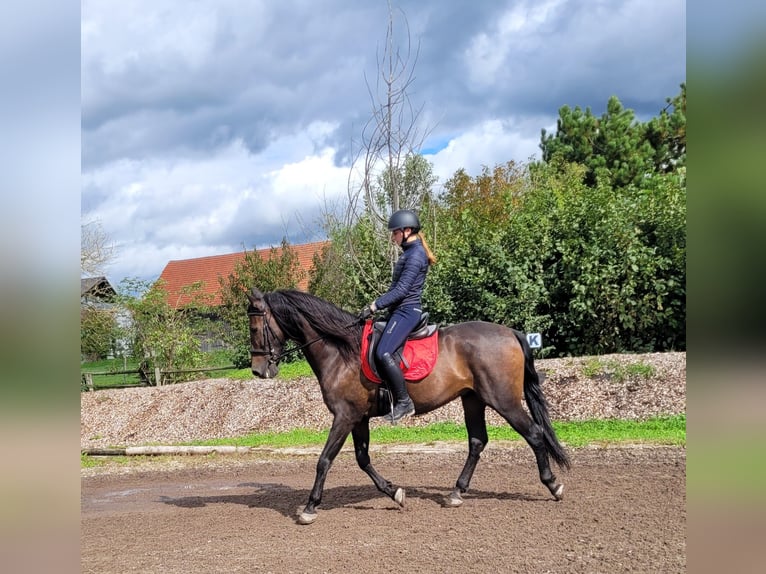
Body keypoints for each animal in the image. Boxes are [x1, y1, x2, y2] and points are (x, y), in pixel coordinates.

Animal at [246, 288, 568, 528]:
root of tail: (511, 332)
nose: (259, 371)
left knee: (534, 434)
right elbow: (363, 460)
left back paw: (553, 485)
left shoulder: (345, 416)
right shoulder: (358, 418)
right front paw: (395, 493)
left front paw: (310, 507)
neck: (340, 352)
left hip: (504, 400)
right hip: (473, 399)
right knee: (478, 441)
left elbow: (324, 460)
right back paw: (456, 493)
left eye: (254, 327)